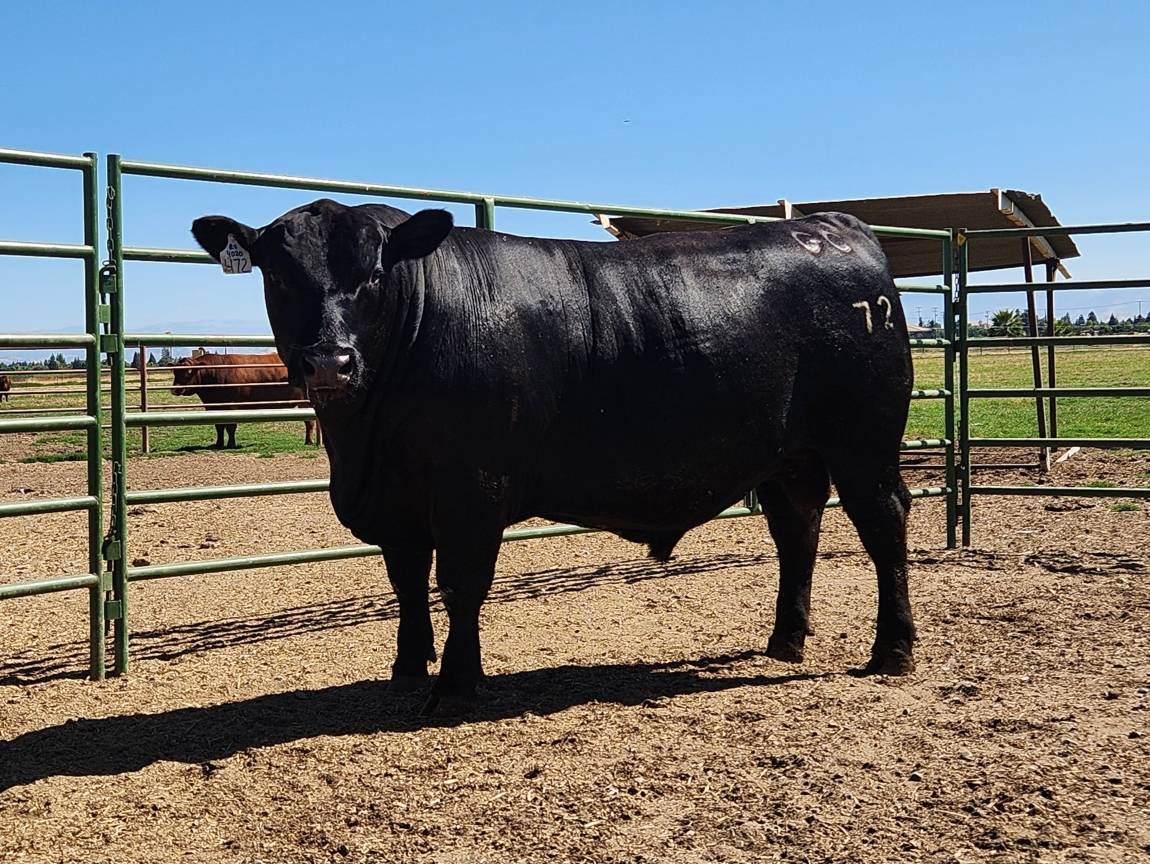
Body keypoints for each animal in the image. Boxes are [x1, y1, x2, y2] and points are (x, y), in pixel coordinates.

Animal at [170, 352, 319, 449]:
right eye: (175, 371)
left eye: (189, 371)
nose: (175, 389)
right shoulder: (213, 407)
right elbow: (219, 426)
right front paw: (219, 443)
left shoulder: (232, 405)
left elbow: (230, 426)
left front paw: (231, 444)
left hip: (305, 401)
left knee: (309, 422)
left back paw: (309, 441)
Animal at [192, 200, 916, 715]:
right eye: (278, 275)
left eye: (374, 274)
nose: (329, 361)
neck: (362, 442)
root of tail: (832, 226)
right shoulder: (398, 500)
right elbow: (406, 583)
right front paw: (405, 672)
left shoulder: (470, 492)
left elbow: (460, 585)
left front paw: (456, 685)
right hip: (791, 457)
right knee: (797, 530)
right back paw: (785, 639)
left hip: (864, 444)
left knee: (884, 526)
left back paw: (893, 651)